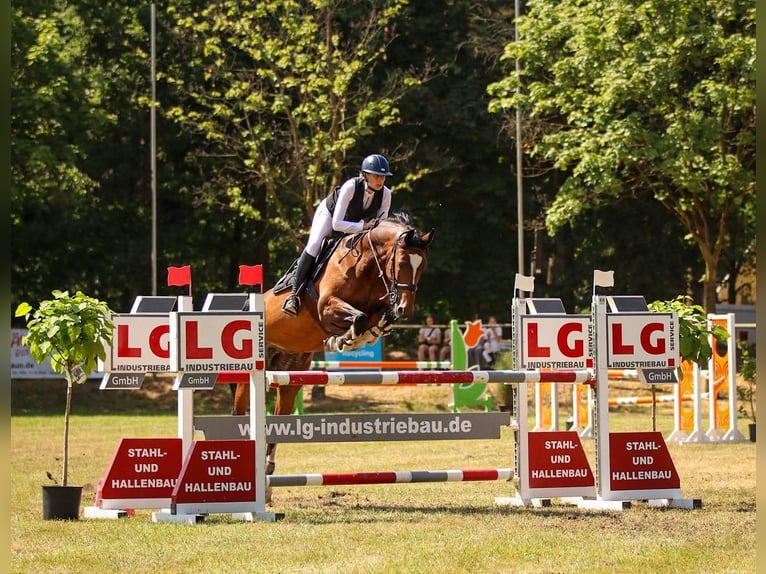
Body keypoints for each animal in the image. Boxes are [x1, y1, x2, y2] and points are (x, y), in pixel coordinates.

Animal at [234, 212, 436, 476]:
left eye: (422, 267)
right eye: (401, 263)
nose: (406, 309)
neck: (366, 267)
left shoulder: (377, 306)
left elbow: (376, 319)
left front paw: (365, 334)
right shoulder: (327, 306)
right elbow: (358, 318)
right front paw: (342, 339)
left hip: (291, 372)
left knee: (280, 413)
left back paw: (268, 465)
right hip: (249, 375)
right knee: (238, 410)